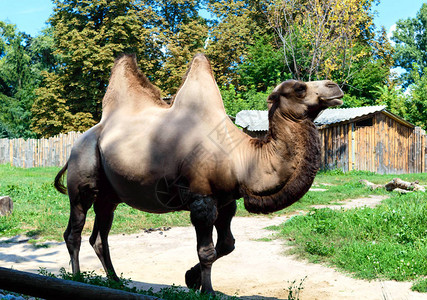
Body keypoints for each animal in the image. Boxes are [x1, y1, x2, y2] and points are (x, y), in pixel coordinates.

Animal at [55, 52, 344, 294]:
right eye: (299, 88)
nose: (336, 87)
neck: (241, 158)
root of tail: (78, 143)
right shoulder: (201, 199)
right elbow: (206, 251)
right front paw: (207, 291)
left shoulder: (226, 201)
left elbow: (227, 244)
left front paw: (190, 279)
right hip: (82, 180)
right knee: (74, 230)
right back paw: (77, 278)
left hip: (108, 195)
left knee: (100, 236)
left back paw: (116, 281)